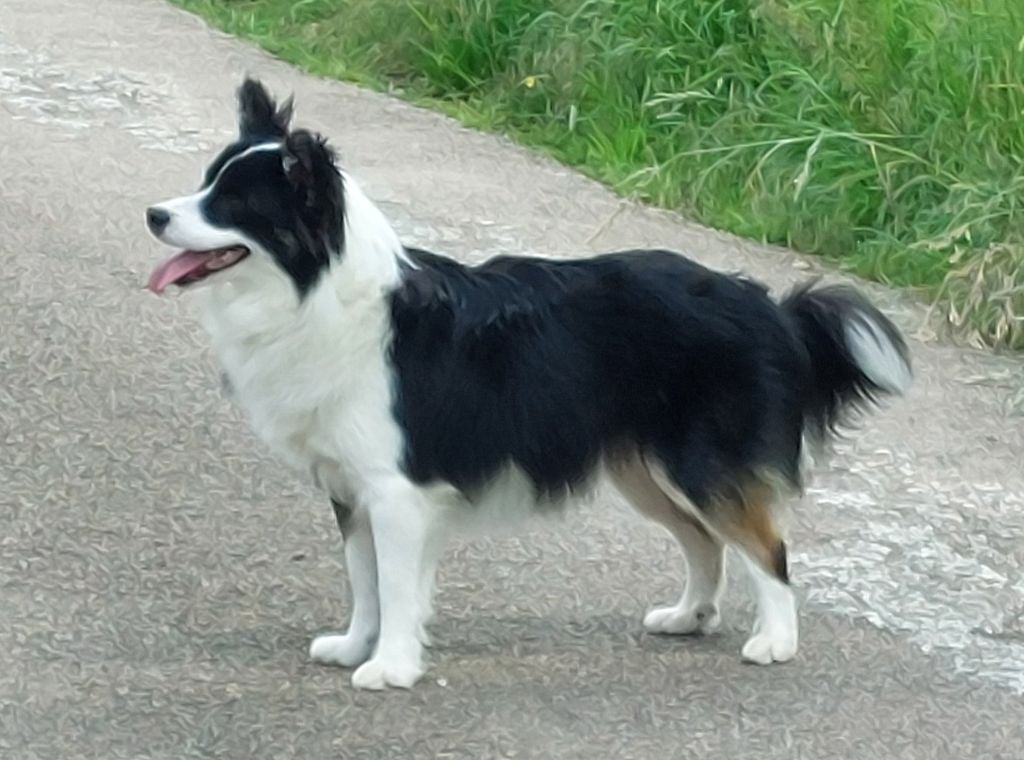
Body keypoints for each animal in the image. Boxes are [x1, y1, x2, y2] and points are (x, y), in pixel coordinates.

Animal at [145, 78, 911, 690]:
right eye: (207, 183)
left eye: (233, 203)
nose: (154, 214)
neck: (320, 291)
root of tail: (769, 306)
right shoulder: (350, 485)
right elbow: (366, 582)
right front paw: (358, 646)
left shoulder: (396, 488)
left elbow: (393, 584)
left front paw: (391, 667)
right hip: (646, 470)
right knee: (705, 540)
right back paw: (689, 616)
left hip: (701, 462)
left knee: (765, 546)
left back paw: (775, 642)